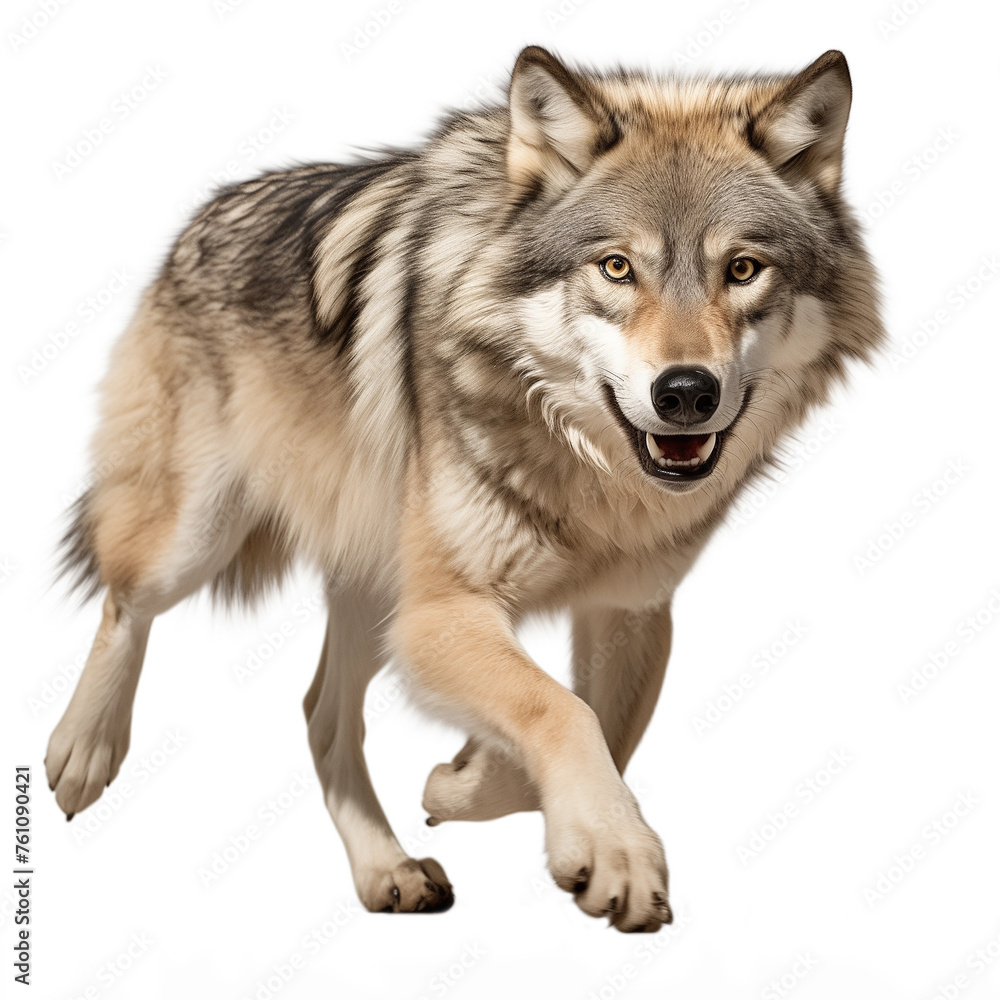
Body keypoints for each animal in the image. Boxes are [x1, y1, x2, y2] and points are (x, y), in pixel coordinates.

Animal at [48, 46, 882, 931]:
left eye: (744, 270)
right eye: (617, 267)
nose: (685, 392)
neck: (590, 475)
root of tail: (197, 219)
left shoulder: (626, 612)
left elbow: (597, 726)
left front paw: (472, 783)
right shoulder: (441, 610)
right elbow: (561, 708)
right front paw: (613, 851)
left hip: (374, 587)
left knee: (320, 716)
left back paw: (387, 869)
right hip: (200, 536)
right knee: (124, 601)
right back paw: (82, 752)